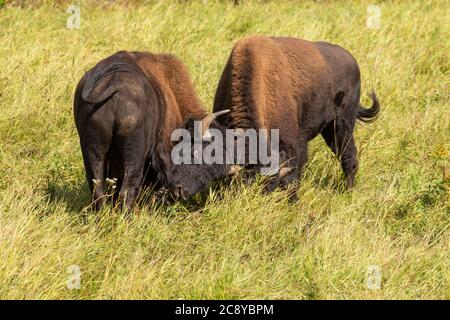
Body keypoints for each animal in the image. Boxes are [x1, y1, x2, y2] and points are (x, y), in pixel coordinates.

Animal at [74, 50, 207, 211]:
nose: (180, 191)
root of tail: (114, 83)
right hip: (135, 155)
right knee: (127, 190)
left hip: (92, 149)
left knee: (98, 189)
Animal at [169, 35, 380, 200]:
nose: (179, 190)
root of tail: (351, 60)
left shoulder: (294, 147)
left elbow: (292, 179)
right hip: (329, 129)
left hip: (343, 123)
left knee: (349, 157)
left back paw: (348, 193)